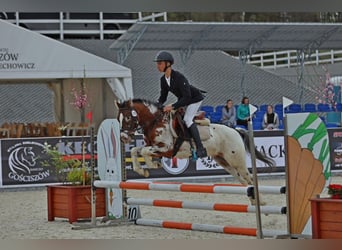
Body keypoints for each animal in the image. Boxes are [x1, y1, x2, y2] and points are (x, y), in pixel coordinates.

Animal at [115, 98, 276, 204]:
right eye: (118, 119)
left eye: (128, 117)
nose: (123, 138)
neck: (154, 121)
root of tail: (236, 130)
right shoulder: (157, 148)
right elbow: (136, 150)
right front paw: (144, 170)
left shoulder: (166, 148)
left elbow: (144, 151)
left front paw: (152, 164)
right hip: (224, 162)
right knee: (243, 181)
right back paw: (253, 201)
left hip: (237, 161)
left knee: (249, 178)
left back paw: (261, 202)